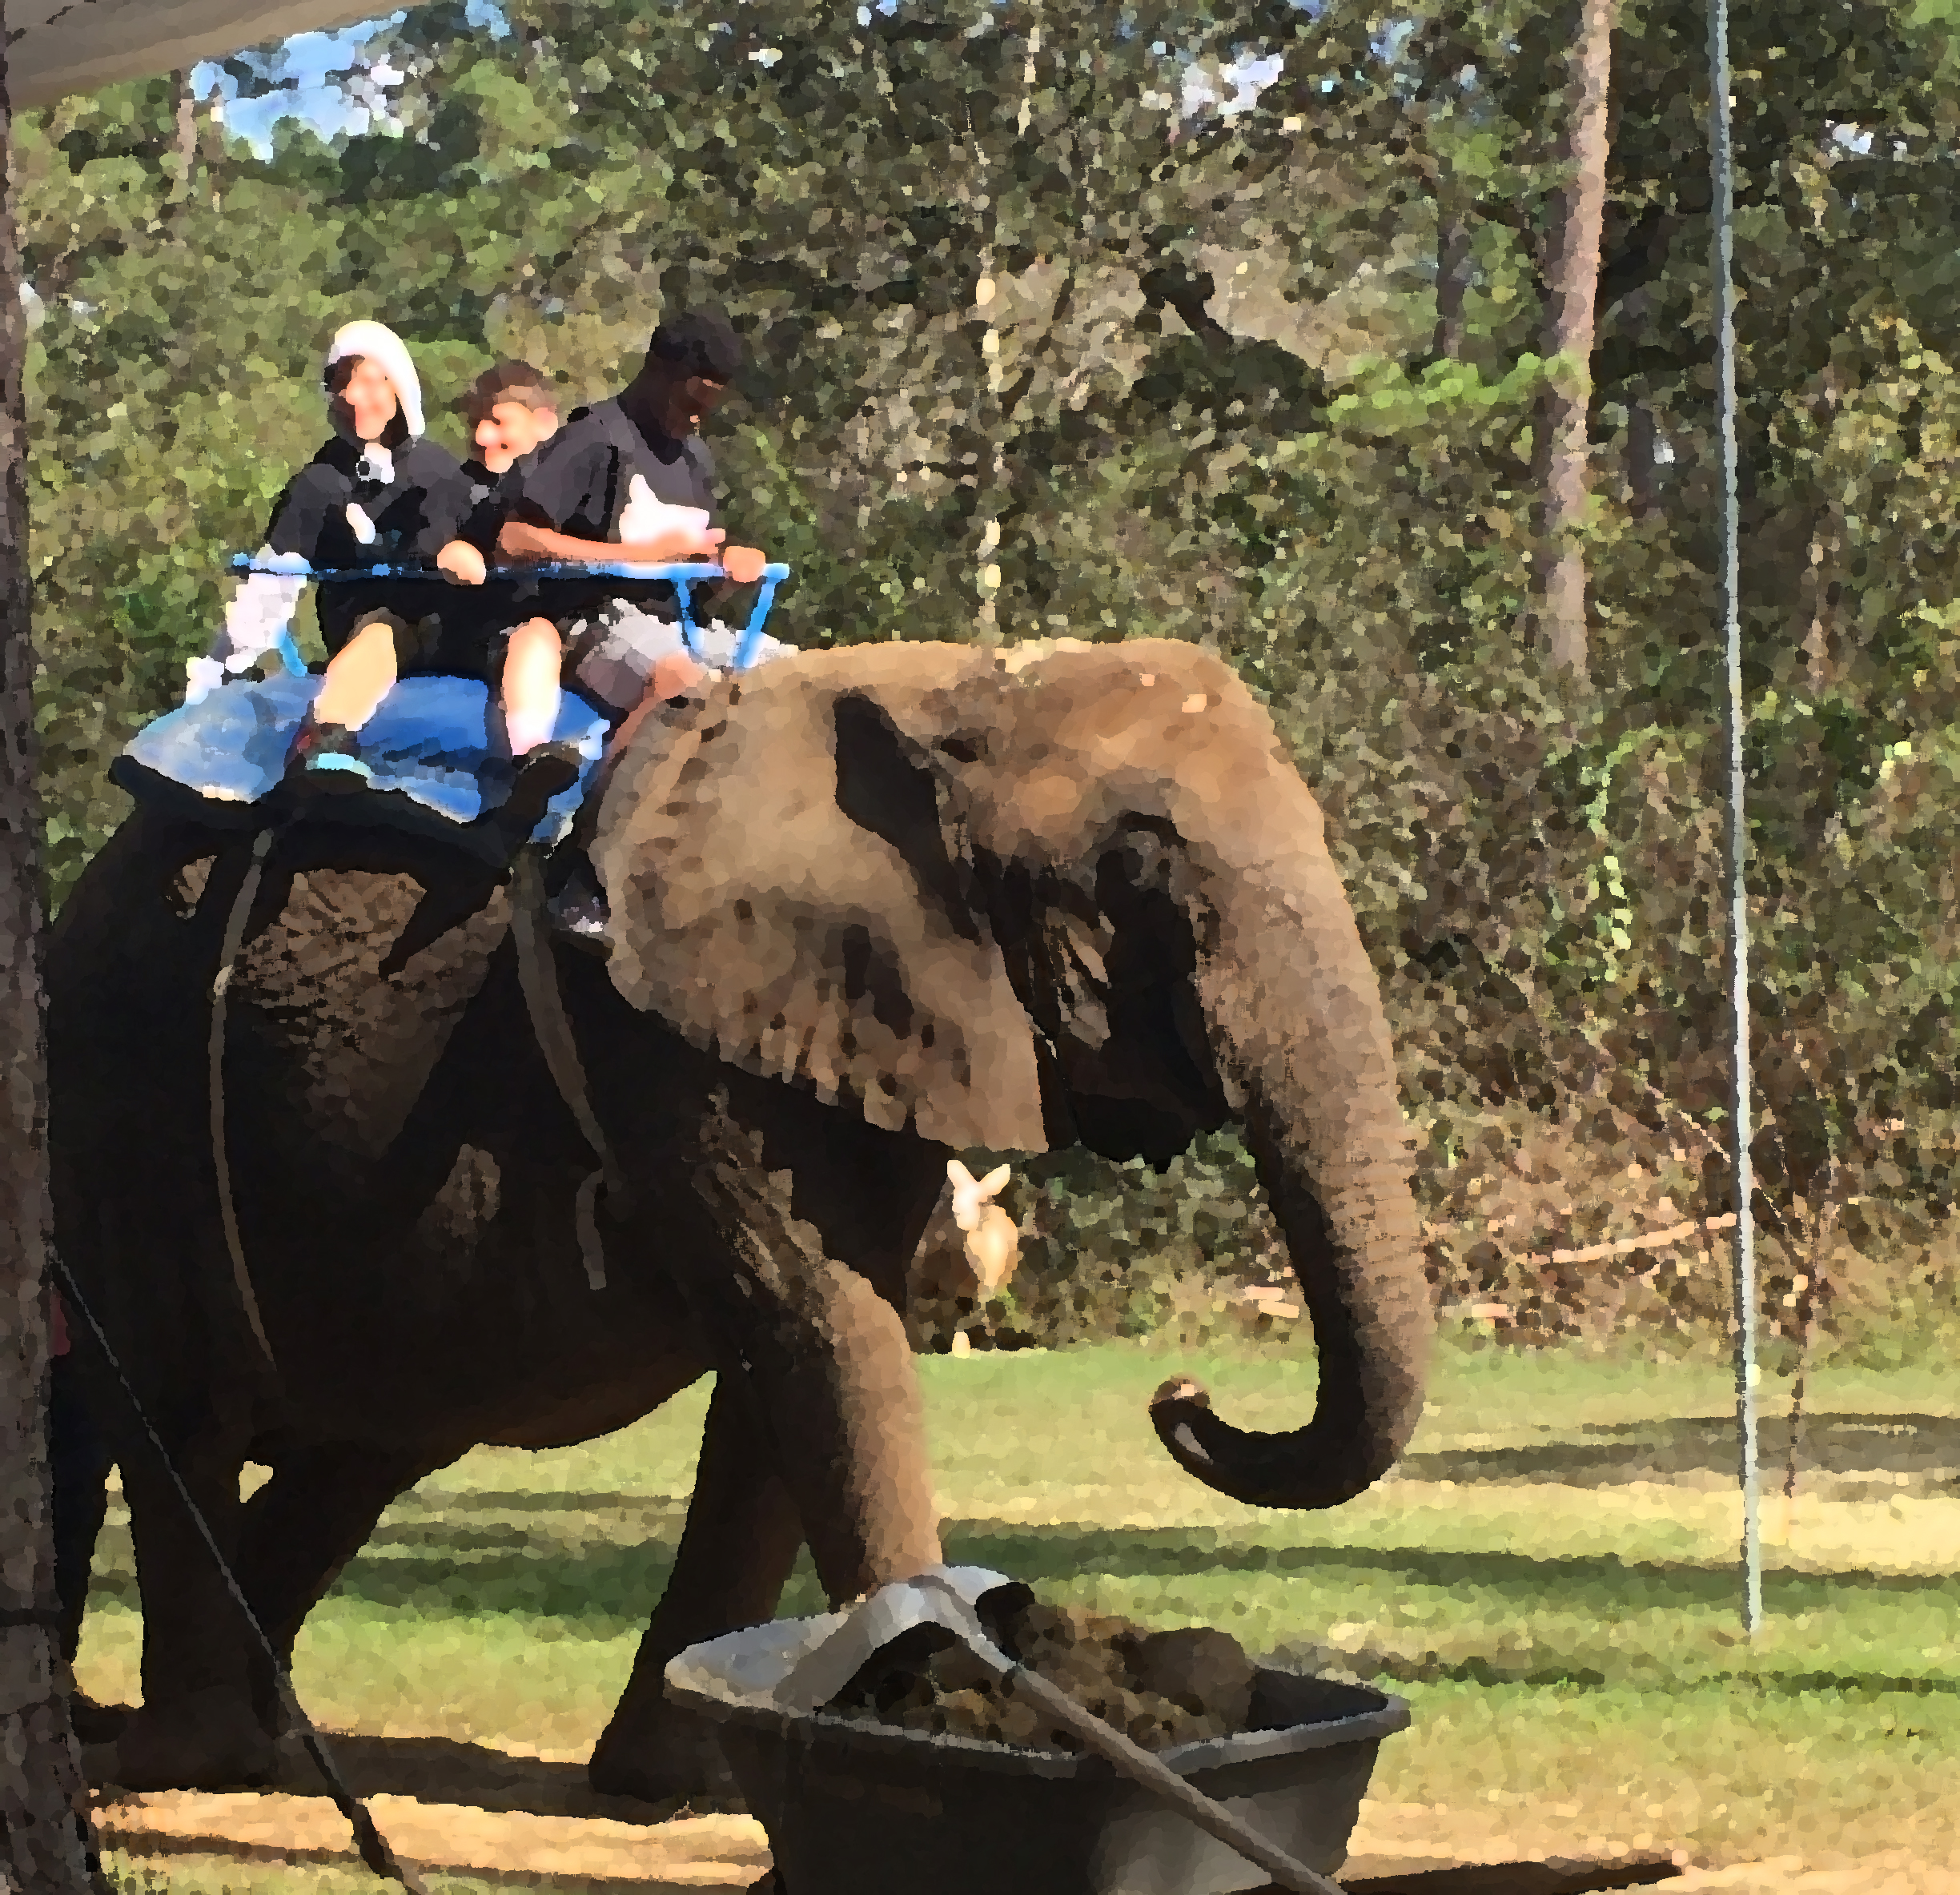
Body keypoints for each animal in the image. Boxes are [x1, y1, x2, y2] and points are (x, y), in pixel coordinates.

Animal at [46, 636, 1432, 1800]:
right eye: (1136, 875)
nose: (1180, 1396)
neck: (957, 691)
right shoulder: (671, 1035)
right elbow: (821, 1323)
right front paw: (950, 1725)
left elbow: (795, 1365)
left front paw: (687, 1780)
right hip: (122, 1077)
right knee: (170, 1405)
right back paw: (182, 1758)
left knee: (361, 1444)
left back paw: (248, 1738)